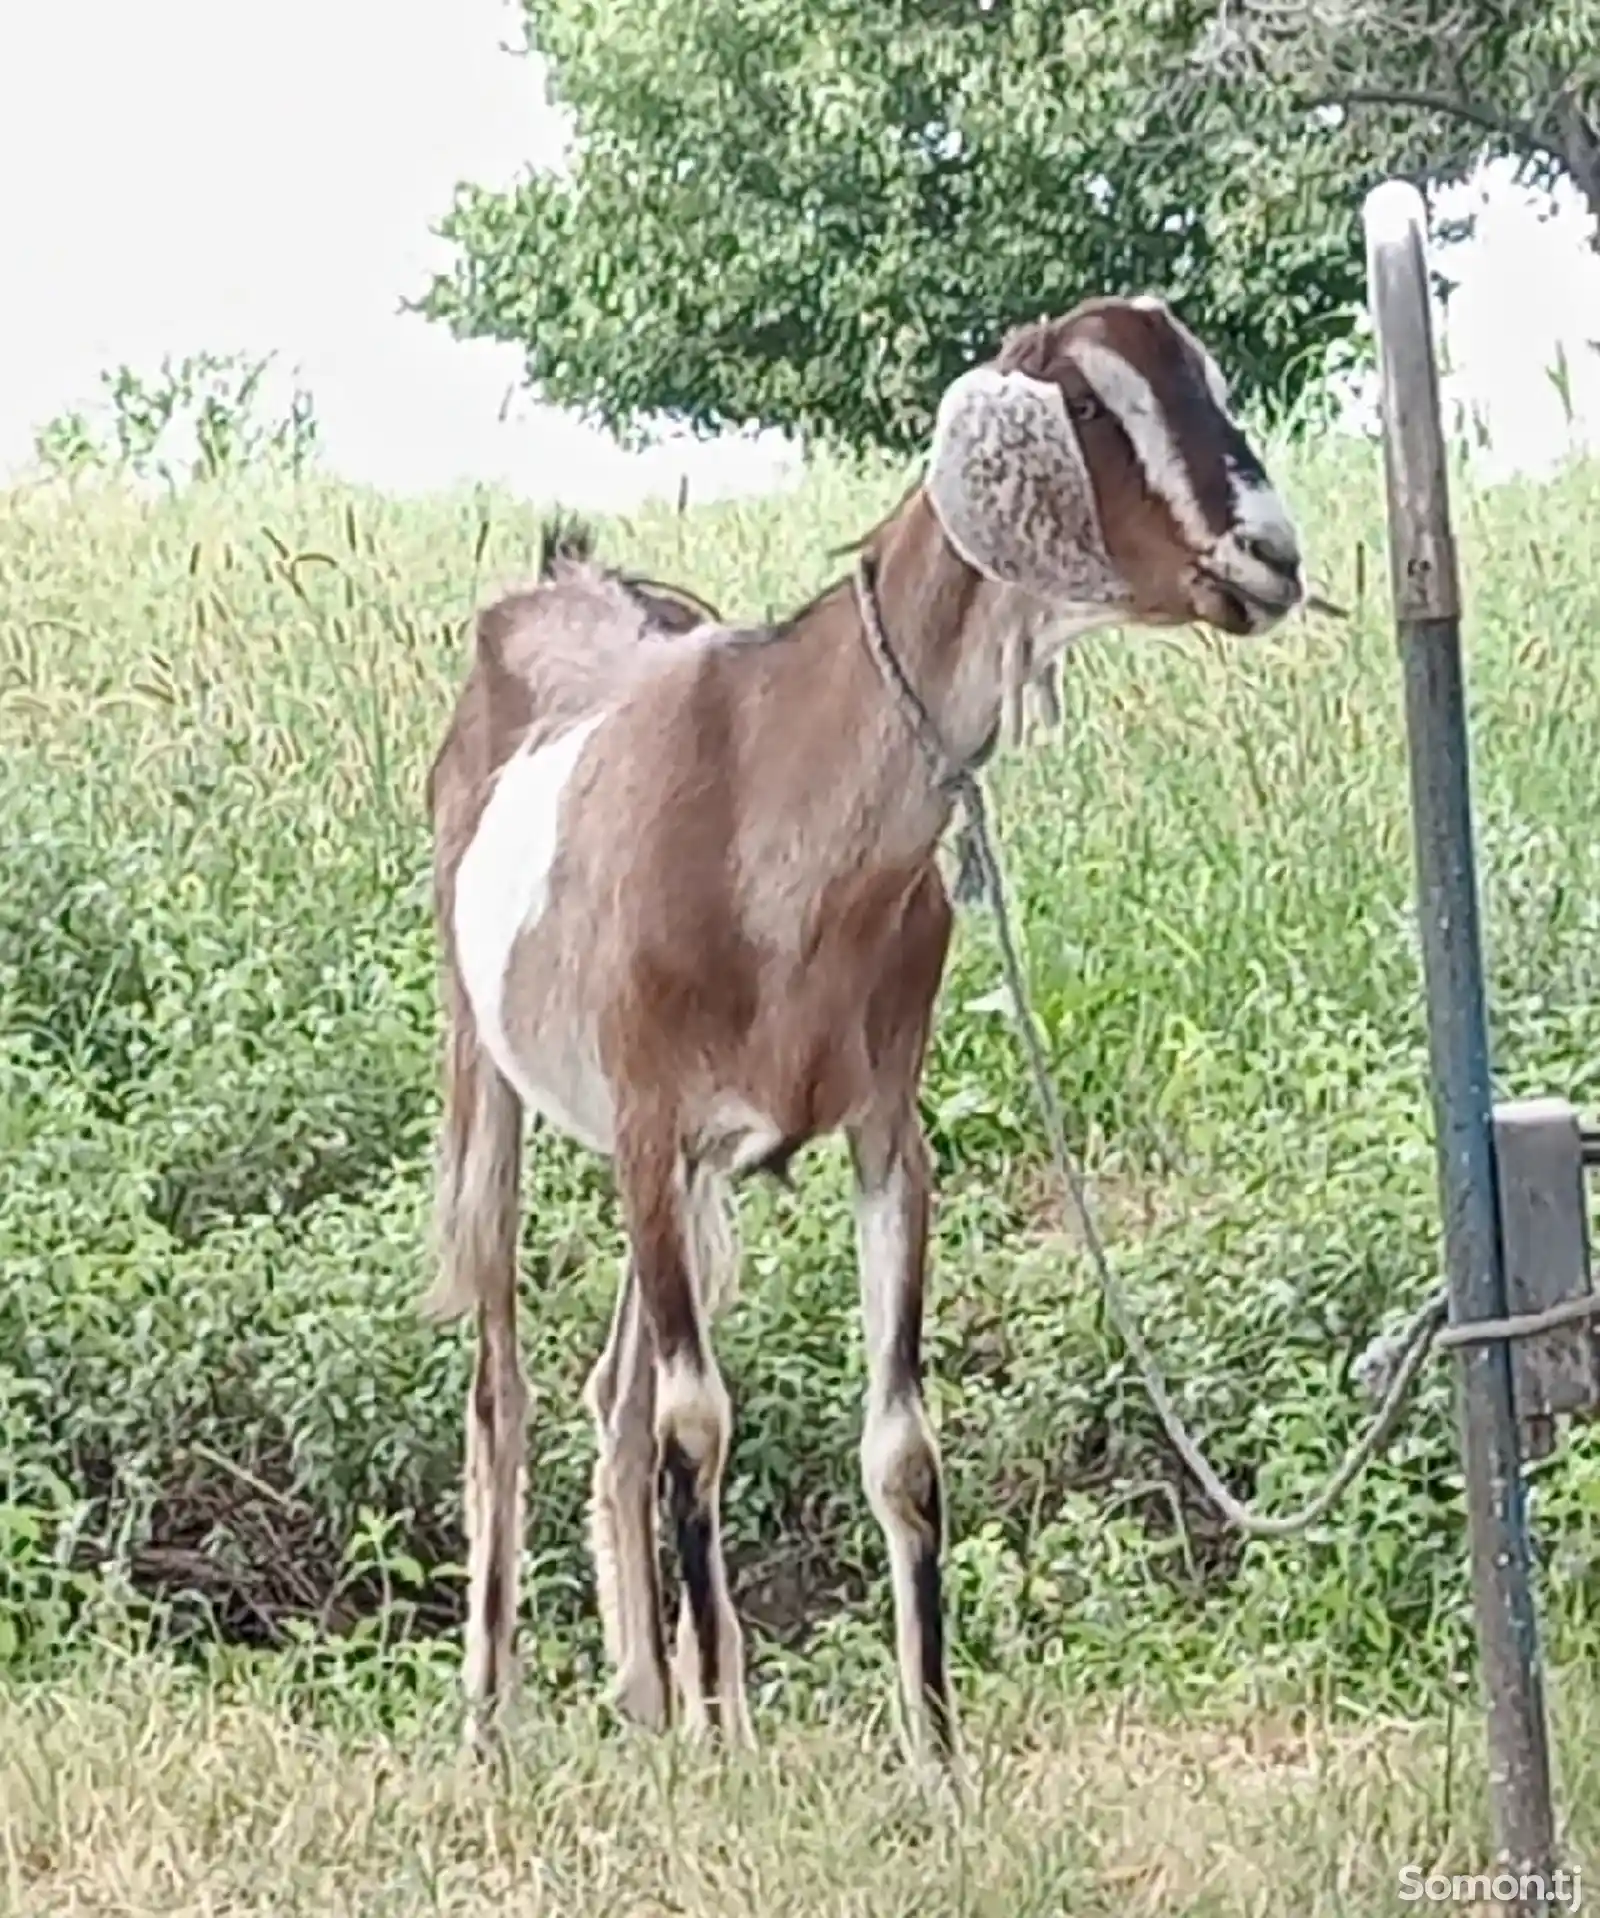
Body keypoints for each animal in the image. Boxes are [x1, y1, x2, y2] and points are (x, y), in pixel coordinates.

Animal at [420, 291, 1296, 1772]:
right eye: (1094, 406)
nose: (1271, 555)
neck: (772, 791)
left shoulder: (884, 1128)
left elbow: (899, 1444)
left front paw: (932, 1754)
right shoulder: (652, 1123)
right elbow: (699, 1422)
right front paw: (736, 1751)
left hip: (687, 1183)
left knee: (611, 1397)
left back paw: (647, 1703)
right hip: (488, 1062)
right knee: (508, 1387)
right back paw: (495, 1722)